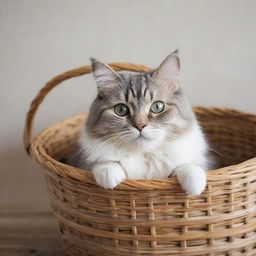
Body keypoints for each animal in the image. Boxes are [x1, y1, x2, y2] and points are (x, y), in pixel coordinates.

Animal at [67, 52, 211, 196]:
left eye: (157, 107)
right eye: (121, 110)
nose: (140, 126)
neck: (144, 154)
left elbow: (187, 167)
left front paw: (194, 186)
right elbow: (106, 163)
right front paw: (109, 176)